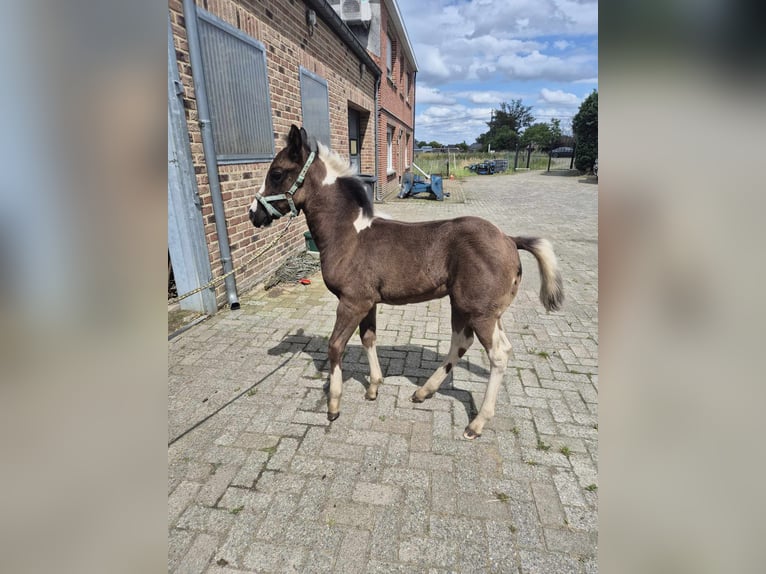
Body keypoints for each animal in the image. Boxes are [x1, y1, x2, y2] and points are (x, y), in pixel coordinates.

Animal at [252, 126, 564, 440]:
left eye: (277, 173)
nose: (254, 215)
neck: (349, 233)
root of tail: (509, 239)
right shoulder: (368, 302)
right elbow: (368, 338)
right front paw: (374, 387)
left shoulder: (352, 302)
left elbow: (335, 346)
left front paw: (333, 405)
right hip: (476, 308)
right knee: (468, 343)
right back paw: (423, 392)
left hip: (479, 311)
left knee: (497, 354)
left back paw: (476, 424)